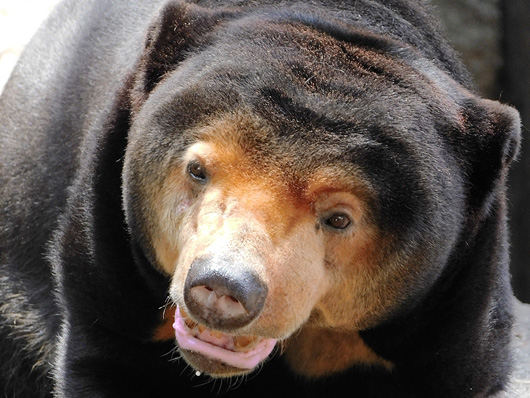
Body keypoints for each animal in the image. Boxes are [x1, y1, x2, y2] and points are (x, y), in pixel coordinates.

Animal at [0, 0, 520, 398]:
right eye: (198, 170)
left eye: (339, 218)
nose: (221, 287)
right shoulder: (108, 253)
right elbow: (108, 358)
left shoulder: (453, 305)